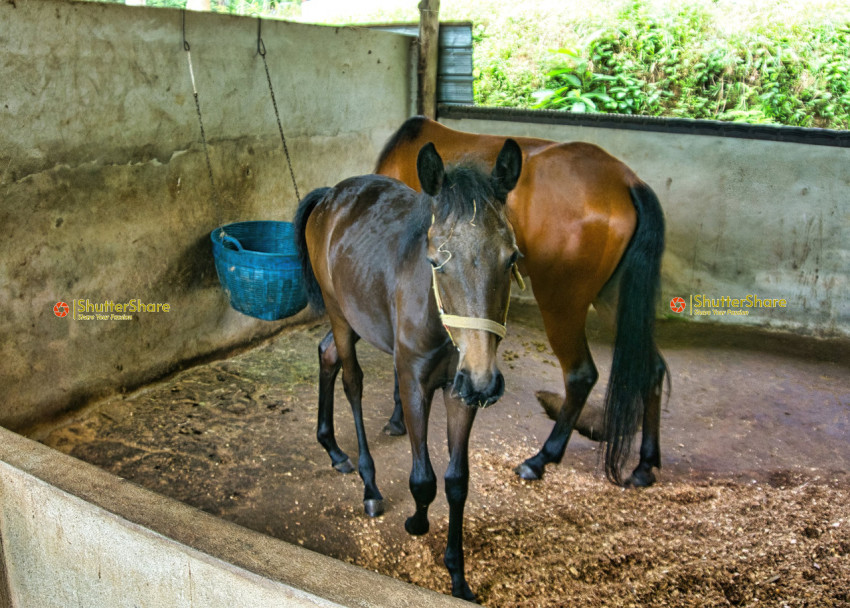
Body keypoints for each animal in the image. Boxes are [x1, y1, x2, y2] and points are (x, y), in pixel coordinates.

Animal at [296, 139, 524, 600]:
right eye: (436, 261)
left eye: (512, 259)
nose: (485, 381)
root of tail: (330, 196)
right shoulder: (415, 382)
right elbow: (423, 479)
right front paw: (417, 521)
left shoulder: (460, 390)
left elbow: (456, 482)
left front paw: (457, 575)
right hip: (338, 313)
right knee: (351, 381)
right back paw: (368, 483)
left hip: (357, 318)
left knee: (326, 355)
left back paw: (333, 449)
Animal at [374, 117, 664, 490]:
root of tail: (628, 181)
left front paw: (397, 418)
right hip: (613, 300)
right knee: (652, 369)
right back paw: (645, 463)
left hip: (562, 304)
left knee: (581, 375)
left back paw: (541, 459)